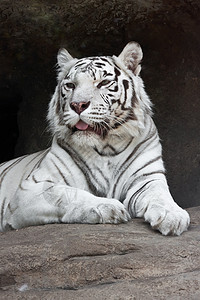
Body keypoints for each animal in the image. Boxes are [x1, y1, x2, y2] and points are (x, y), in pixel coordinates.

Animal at [0, 42, 190, 234]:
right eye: (70, 85)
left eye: (103, 82)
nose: (78, 105)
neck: (107, 146)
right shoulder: (31, 188)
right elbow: (68, 194)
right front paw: (109, 207)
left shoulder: (147, 178)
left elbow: (160, 195)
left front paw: (173, 216)